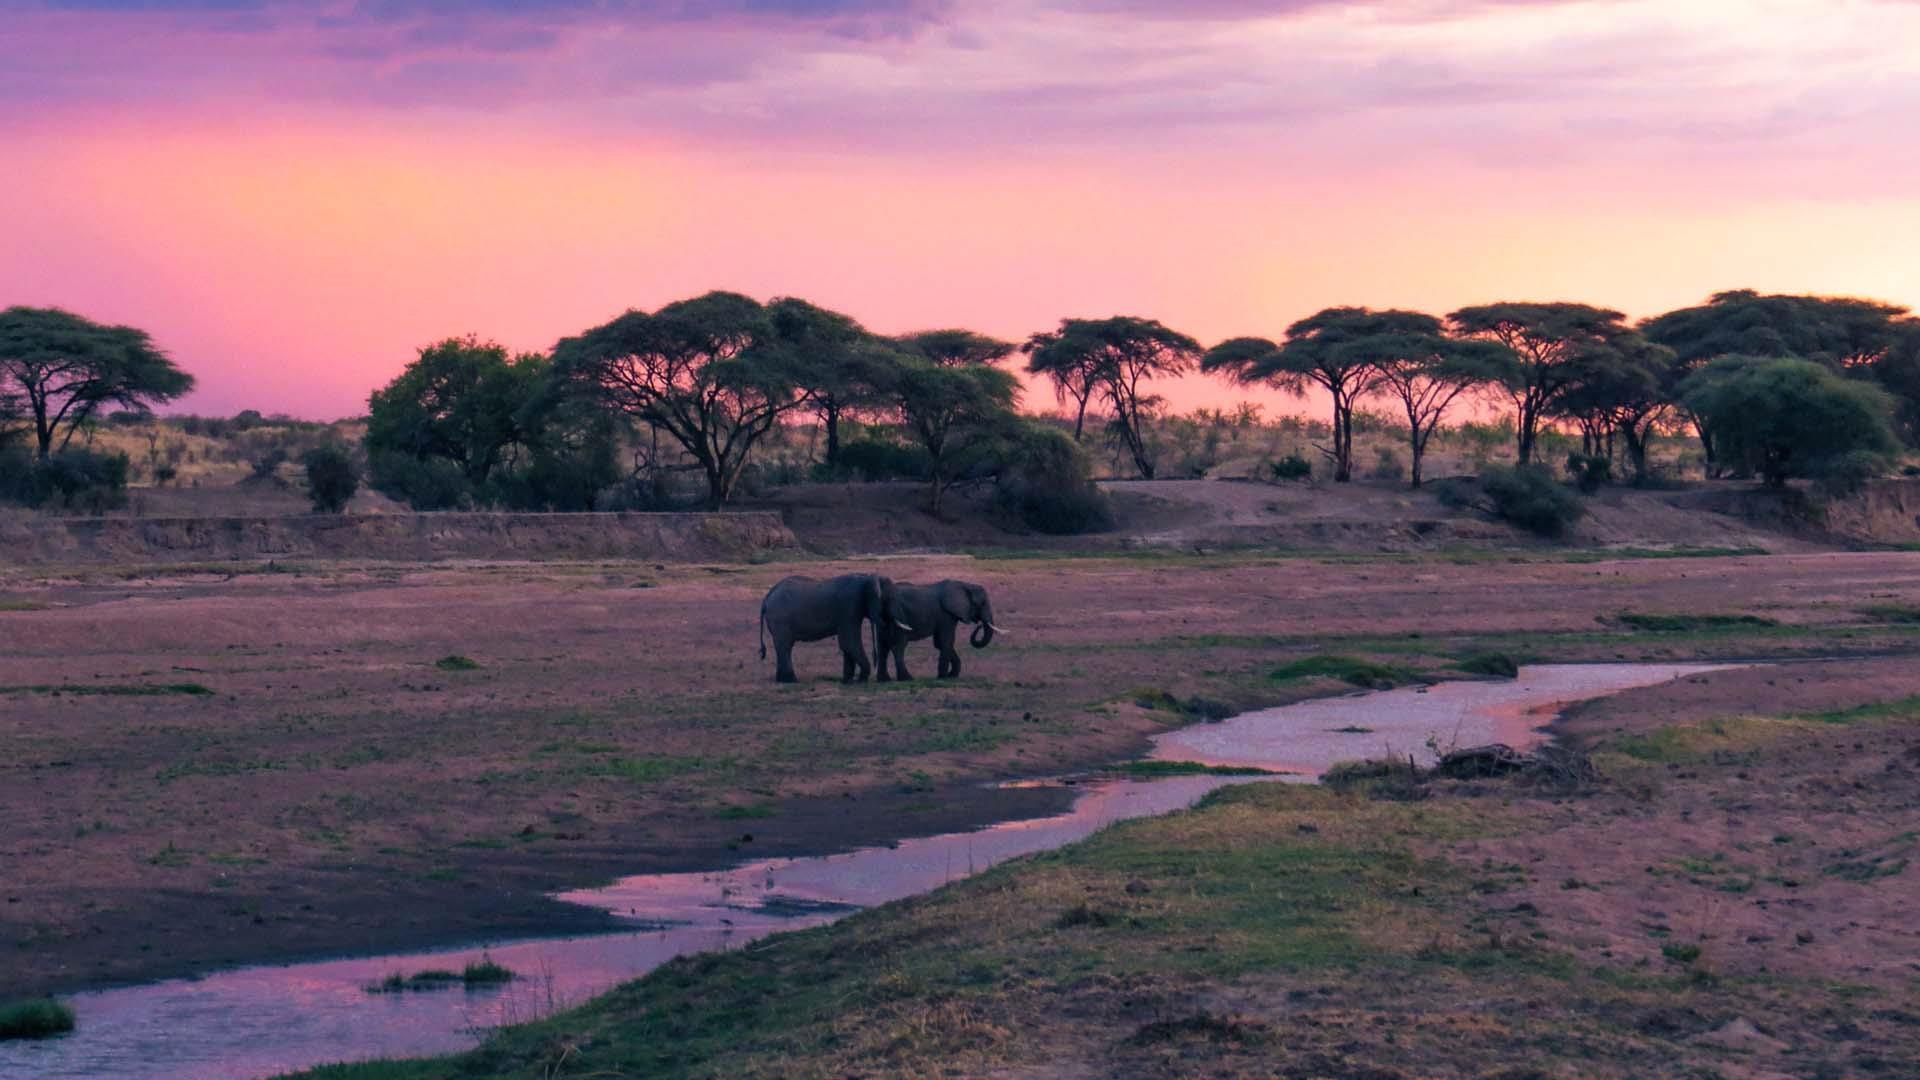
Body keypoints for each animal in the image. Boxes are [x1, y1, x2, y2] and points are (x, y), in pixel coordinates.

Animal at [756, 572, 913, 680]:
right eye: (890, 599)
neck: (867, 577)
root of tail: (766, 598)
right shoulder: (849, 606)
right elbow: (850, 642)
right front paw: (861, 679)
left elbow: (846, 645)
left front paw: (848, 680)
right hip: (780, 619)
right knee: (785, 646)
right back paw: (791, 680)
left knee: (784, 647)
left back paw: (782, 680)